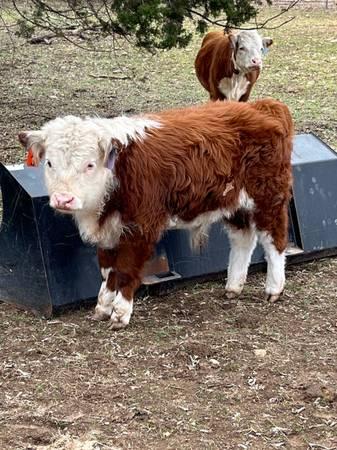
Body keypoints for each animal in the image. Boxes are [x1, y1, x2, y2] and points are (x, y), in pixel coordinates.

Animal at [18, 100, 292, 328]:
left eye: (89, 164)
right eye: (50, 163)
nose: (63, 199)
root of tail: (261, 106)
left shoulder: (141, 227)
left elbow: (125, 269)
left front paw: (120, 314)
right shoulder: (109, 231)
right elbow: (108, 270)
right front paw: (102, 307)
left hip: (268, 198)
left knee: (274, 240)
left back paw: (274, 289)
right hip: (233, 203)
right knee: (243, 239)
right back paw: (233, 286)